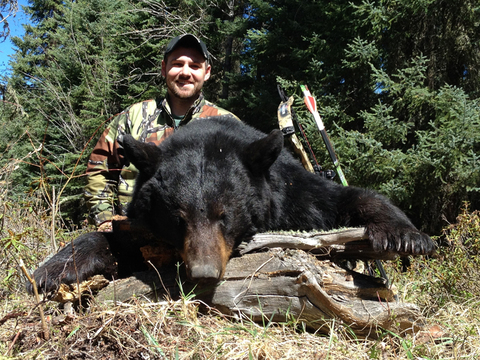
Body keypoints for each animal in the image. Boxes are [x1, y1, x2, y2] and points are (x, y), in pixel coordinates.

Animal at [29, 116, 436, 294]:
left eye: (224, 215)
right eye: (178, 218)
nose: (204, 272)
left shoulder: (290, 194)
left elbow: (343, 200)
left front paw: (405, 235)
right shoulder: (141, 227)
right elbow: (115, 242)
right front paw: (54, 269)